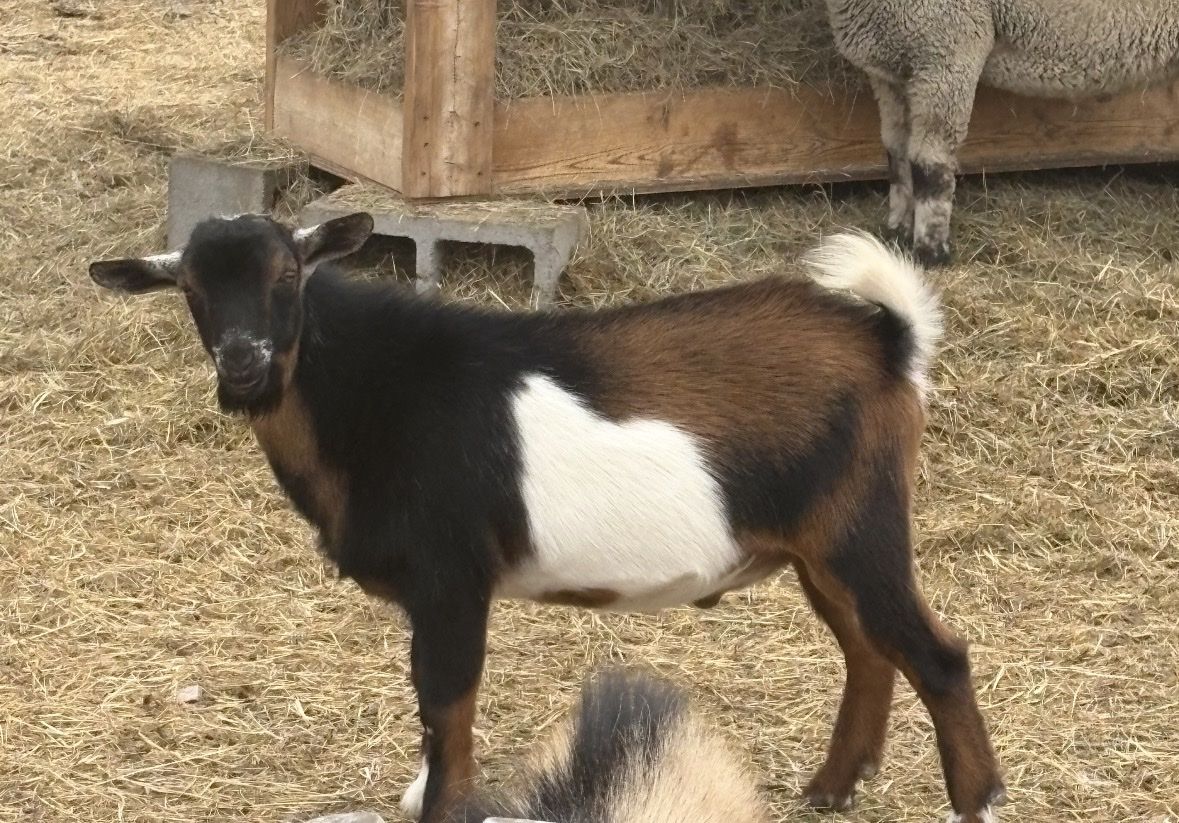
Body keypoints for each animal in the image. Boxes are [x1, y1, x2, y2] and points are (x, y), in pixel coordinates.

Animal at [826, 0, 1179, 266]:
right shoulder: (892, 73)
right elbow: (897, 153)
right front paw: (896, 230)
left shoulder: (948, 52)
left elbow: (929, 165)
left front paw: (930, 252)